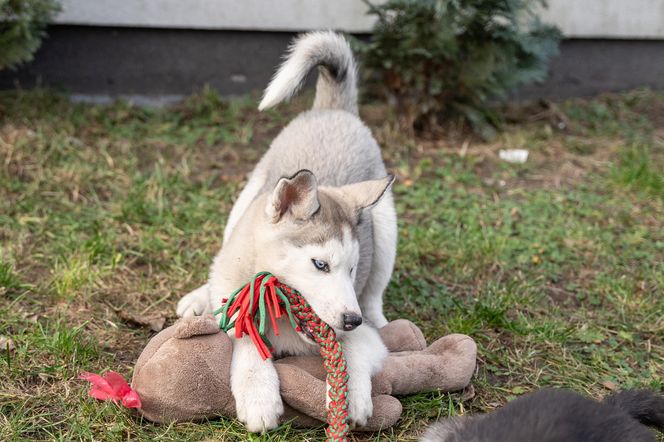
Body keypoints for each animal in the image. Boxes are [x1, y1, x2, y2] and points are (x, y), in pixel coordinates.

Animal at [174, 32, 396, 434]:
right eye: (320, 265)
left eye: (352, 269)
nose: (351, 320)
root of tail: (332, 111)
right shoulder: (237, 314)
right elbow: (247, 341)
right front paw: (259, 396)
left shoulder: (360, 332)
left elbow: (355, 352)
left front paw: (352, 397)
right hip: (246, 199)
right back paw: (200, 295)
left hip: (386, 224)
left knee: (375, 295)